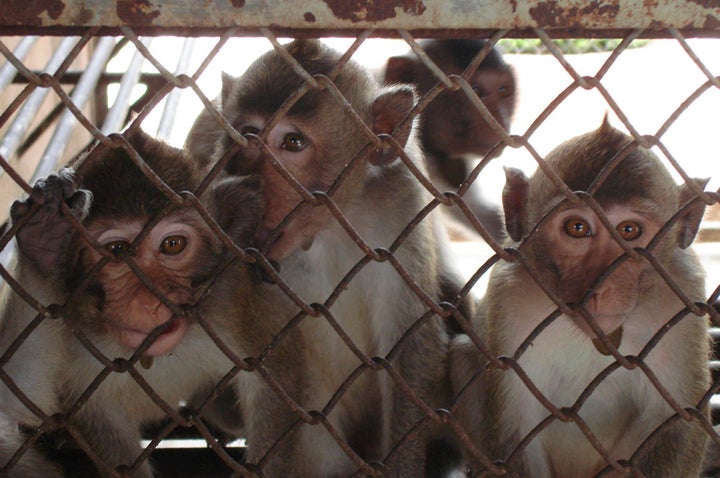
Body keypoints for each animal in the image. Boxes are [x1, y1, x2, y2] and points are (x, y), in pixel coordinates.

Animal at [0, 129, 306, 476]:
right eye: (117, 250)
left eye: (173, 245)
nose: (151, 303)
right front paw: (45, 237)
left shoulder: (231, 301)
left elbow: (273, 375)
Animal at [186, 40, 466, 474]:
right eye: (248, 137)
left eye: (293, 143)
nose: (256, 187)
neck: (329, 226)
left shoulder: (401, 204)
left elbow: (409, 345)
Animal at [450, 117, 708, 476]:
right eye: (577, 227)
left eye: (629, 231)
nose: (600, 288)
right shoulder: (510, 293)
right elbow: (515, 432)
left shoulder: (682, 294)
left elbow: (677, 419)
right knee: (462, 355)